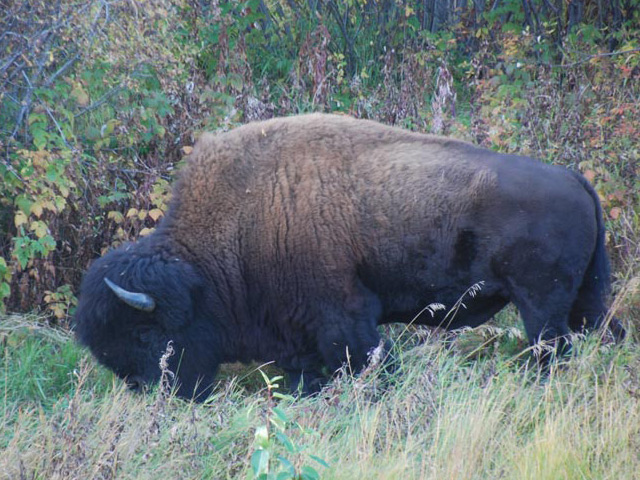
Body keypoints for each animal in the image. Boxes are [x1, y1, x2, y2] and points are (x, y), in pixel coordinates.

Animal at [74, 113, 625, 399]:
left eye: (144, 333)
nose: (151, 393)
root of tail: (575, 179)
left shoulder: (344, 315)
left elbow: (368, 359)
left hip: (541, 305)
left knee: (552, 347)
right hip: (587, 297)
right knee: (604, 332)